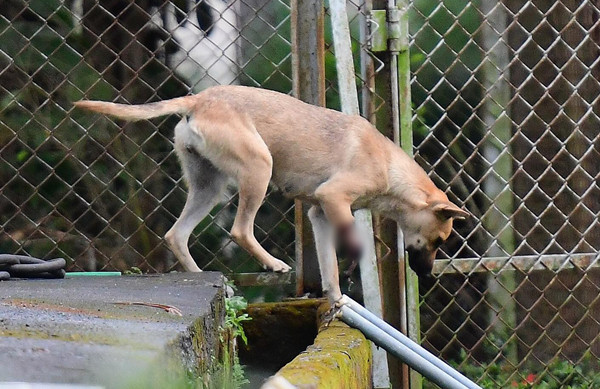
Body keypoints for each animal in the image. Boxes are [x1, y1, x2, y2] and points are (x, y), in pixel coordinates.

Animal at [76, 85, 468, 300]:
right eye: (439, 240)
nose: (428, 276)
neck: (390, 167)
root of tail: (198, 100)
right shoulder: (333, 198)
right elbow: (345, 240)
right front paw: (353, 254)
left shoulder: (318, 213)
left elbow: (328, 266)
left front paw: (336, 300)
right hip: (258, 169)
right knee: (239, 230)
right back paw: (272, 263)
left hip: (209, 188)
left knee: (177, 234)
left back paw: (204, 276)